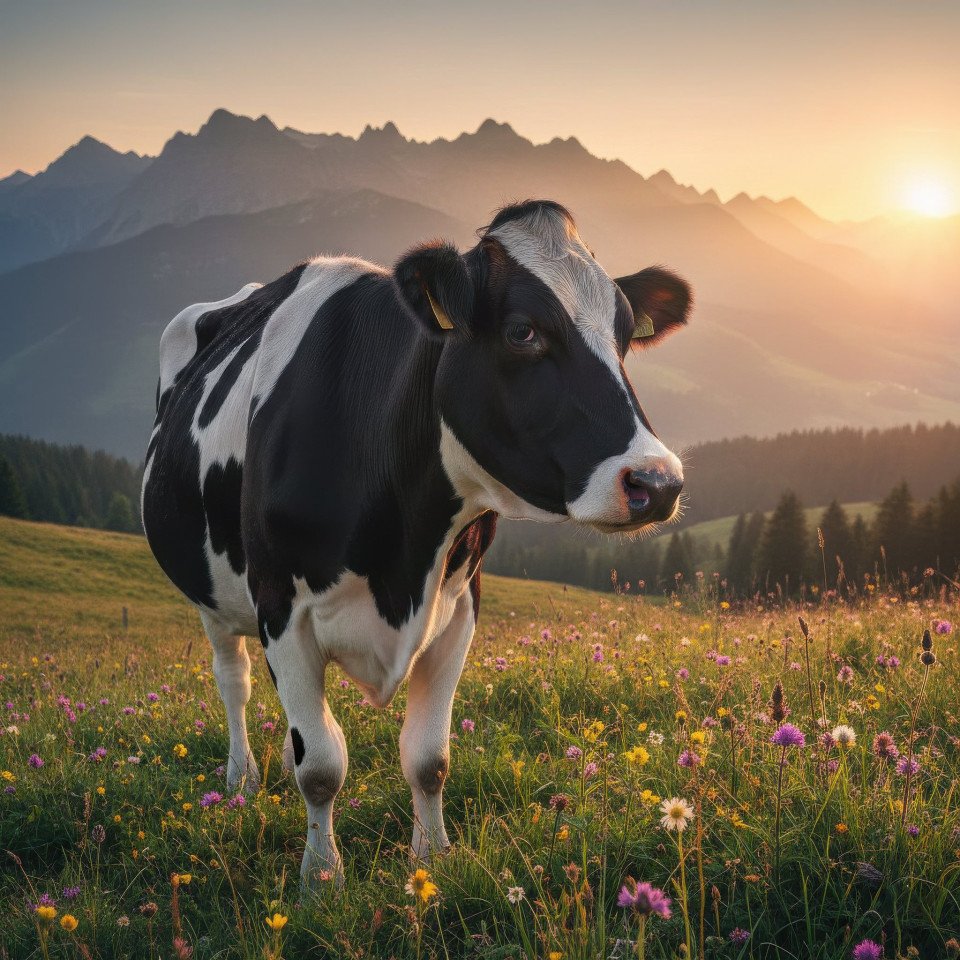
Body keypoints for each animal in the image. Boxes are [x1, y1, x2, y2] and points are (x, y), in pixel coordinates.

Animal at [141, 199, 691, 887]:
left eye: (623, 336)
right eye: (521, 331)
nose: (657, 481)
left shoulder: (458, 605)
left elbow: (428, 757)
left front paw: (432, 859)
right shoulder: (280, 610)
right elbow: (320, 767)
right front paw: (321, 878)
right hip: (213, 598)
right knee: (233, 682)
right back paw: (240, 779)